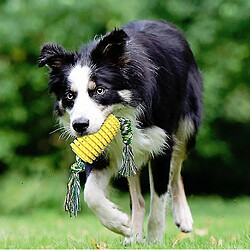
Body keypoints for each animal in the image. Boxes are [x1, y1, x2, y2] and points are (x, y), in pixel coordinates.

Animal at [39, 20, 203, 244]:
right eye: (70, 96)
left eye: (99, 90)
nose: (80, 125)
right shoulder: (102, 150)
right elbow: (91, 193)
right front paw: (120, 224)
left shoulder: (162, 143)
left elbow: (159, 198)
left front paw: (154, 239)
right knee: (138, 198)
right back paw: (134, 234)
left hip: (187, 125)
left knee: (176, 170)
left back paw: (183, 217)